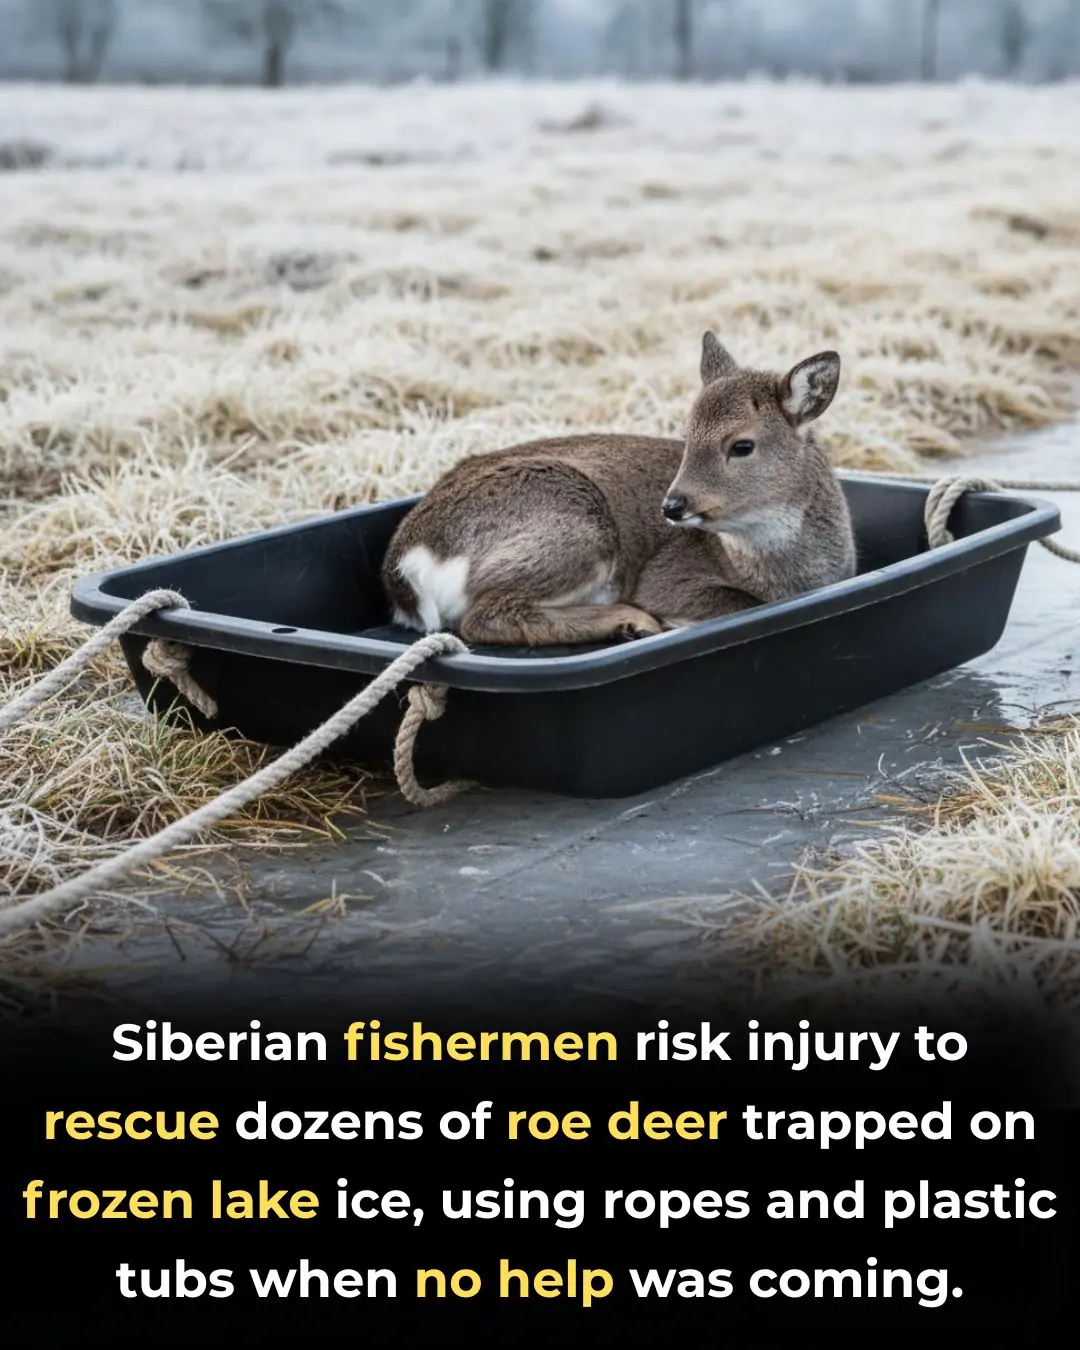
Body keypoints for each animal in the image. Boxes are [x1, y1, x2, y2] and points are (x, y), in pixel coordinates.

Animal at [380, 333, 857, 647]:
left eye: (742, 445)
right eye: (687, 436)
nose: (673, 505)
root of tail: (406, 563)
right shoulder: (665, 575)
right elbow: (740, 602)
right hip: (577, 525)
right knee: (483, 616)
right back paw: (632, 621)